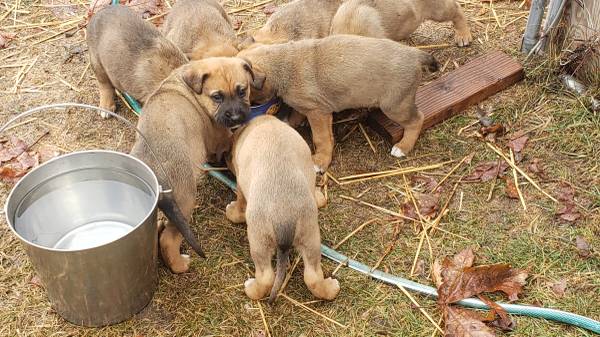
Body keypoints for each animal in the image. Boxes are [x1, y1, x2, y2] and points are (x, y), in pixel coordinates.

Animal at [131, 57, 262, 272]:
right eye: (217, 97)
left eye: (242, 91)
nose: (236, 117)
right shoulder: (220, 138)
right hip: (185, 200)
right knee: (168, 239)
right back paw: (179, 265)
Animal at [226, 115, 340, 302]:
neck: (265, 122)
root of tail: (284, 219)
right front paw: (319, 198)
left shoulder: (241, 185)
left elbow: (239, 206)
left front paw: (232, 211)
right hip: (310, 237)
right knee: (313, 276)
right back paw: (331, 288)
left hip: (259, 241)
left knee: (266, 277)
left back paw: (251, 288)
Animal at [237, 34, 438, 172]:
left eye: (244, 91)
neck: (284, 64)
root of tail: (414, 54)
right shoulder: (307, 107)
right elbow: (296, 115)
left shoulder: (318, 113)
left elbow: (321, 138)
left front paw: (320, 161)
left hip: (395, 106)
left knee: (417, 120)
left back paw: (403, 147)